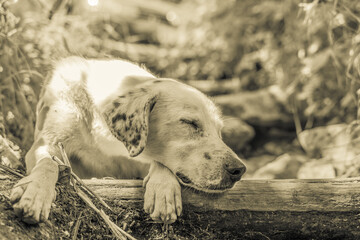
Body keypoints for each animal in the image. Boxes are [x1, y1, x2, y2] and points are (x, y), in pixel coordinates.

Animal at [9, 56, 246, 225]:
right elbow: (48, 163)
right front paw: (35, 191)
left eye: (220, 132)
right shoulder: (46, 144)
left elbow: (159, 162)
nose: (239, 170)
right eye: (189, 123)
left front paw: (163, 189)